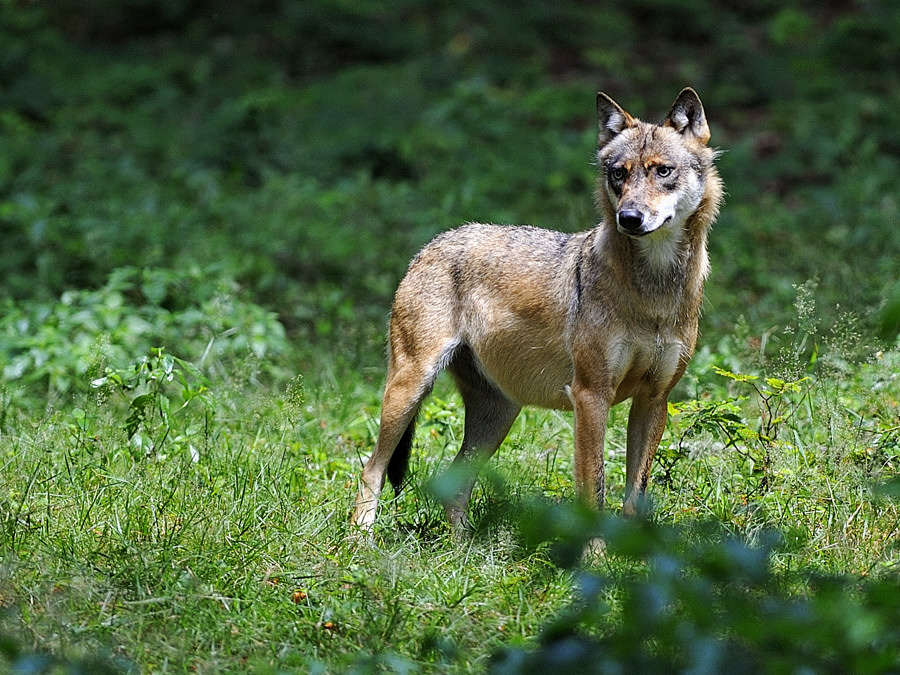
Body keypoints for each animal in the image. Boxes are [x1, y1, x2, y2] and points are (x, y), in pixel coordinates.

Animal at [352, 88, 724, 531]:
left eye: (663, 171)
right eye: (619, 174)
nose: (629, 218)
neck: (654, 292)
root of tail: (430, 245)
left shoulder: (654, 400)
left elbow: (635, 496)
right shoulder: (590, 396)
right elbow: (594, 491)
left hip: (498, 415)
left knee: (453, 485)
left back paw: (463, 545)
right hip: (410, 389)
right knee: (371, 468)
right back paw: (362, 539)